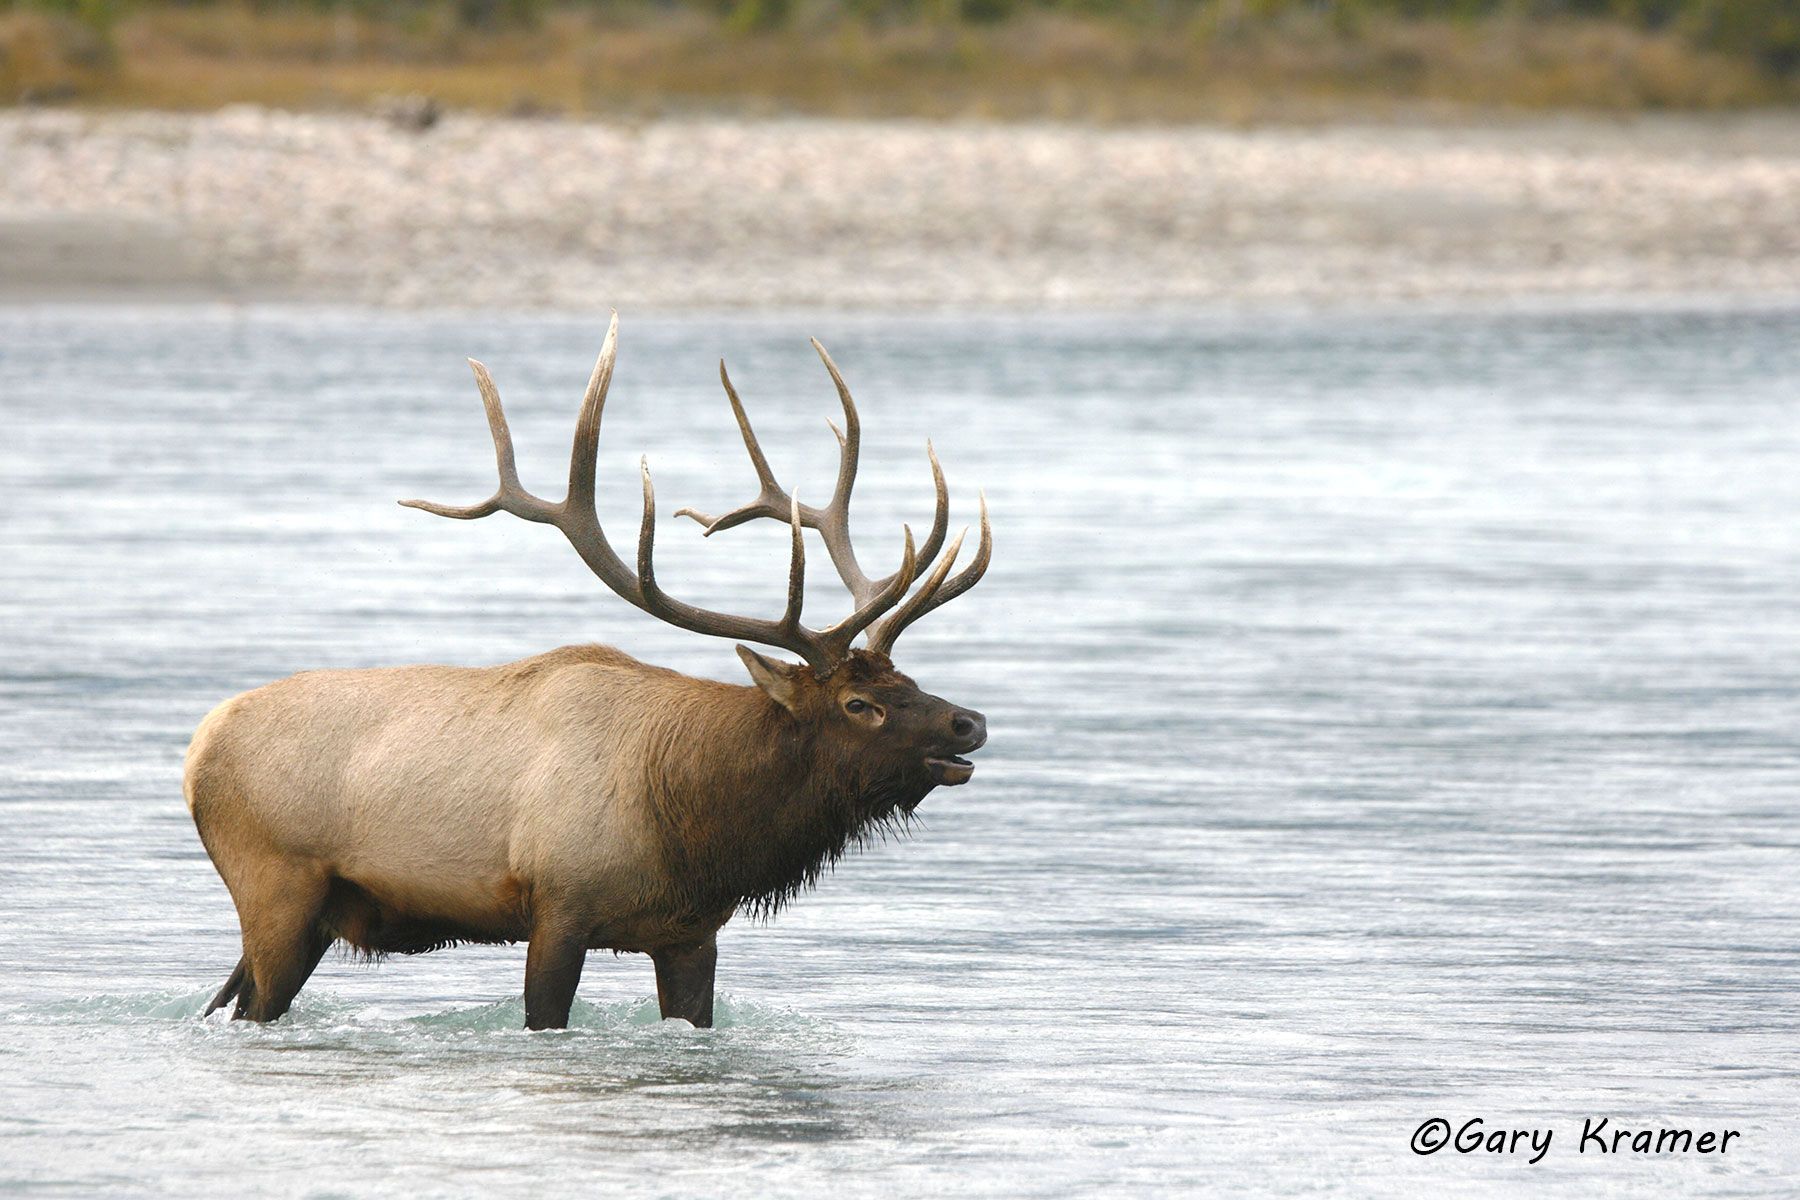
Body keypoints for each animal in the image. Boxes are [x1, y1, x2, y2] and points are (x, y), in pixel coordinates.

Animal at [183, 315, 991, 1030]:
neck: (695, 823)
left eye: (905, 682)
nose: (970, 722)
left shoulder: (692, 931)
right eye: (858, 703)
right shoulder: (559, 904)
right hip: (275, 887)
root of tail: (197, 748)